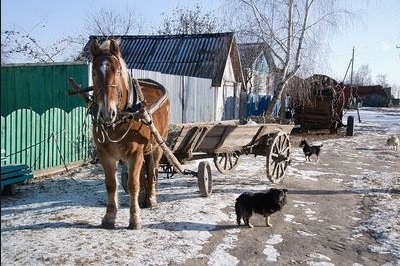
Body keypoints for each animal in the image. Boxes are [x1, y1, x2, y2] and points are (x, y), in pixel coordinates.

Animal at [89, 38, 170, 230]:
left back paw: (151, 198)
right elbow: (111, 185)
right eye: (94, 73)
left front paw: (135, 219)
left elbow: (132, 184)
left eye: (117, 71)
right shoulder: (105, 155)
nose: (107, 113)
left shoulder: (135, 153)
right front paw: (109, 217)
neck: (120, 118)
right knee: (144, 173)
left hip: (157, 147)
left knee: (153, 170)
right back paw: (142, 198)